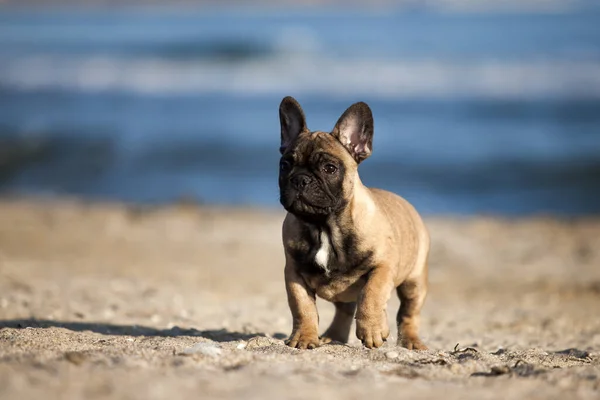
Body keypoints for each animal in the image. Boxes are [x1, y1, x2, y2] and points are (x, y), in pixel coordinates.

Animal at [278, 97, 428, 350]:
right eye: (285, 165)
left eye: (329, 168)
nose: (300, 179)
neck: (325, 226)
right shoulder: (294, 274)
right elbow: (302, 307)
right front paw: (305, 337)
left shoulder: (382, 267)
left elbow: (371, 295)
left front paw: (372, 330)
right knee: (345, 310)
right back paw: (333, 335)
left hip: (414, 282)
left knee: (408, 313)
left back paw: (409, 340)